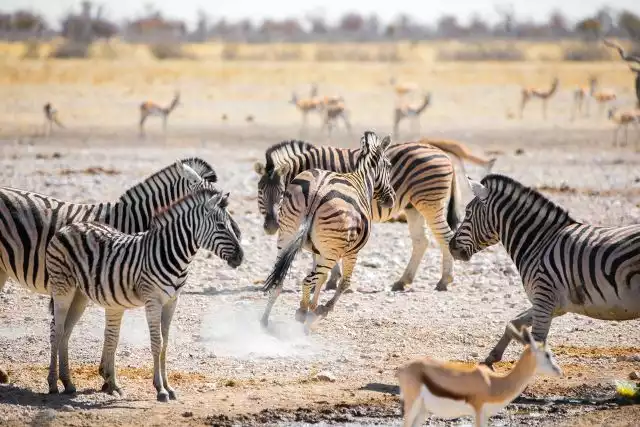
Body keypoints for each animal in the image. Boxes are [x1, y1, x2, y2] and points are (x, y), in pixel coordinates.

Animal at [46, 187, 244, 402]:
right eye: (221, 226)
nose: (241, 257)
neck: (172, 254)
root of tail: (68, 227)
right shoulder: (153, 301)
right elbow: (157, 342)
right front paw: (160, 389)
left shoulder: (172, 301)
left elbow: (165, 343)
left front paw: (169, 387)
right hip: (63, 289)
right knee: (57, 331)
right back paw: (53, 384)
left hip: (79, 295)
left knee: (66, 332)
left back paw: (68, 383)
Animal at [252, 140, 458, 294]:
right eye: (260, 191)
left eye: (281, 192)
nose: (271, 227)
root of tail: (444, 154)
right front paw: (330, 279)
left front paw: (329, 279)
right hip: (413, 207)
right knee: (421, 241)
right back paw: (403, 281)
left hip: (430, 202)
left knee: (445, 237)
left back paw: (444, 280)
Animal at [260, 132, 396, 330]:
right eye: (389, 165)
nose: (391, 199)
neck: (362, 180)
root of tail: (317, 191)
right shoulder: (352, 252)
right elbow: (344, 282)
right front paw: (323, 308)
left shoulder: (318, 251)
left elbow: (323, 279)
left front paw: (313, 305)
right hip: (332, 250)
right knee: (307, 280)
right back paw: (302, 313)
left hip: (287, 237)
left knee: (280, 279)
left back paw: (264, 321)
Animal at [398, 326, 564, 426]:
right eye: (548, 354)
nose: (559, 371)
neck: (493, 383)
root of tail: (403, 368)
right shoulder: (478, 413)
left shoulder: (485, 415)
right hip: (412, 406)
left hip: (423, 411)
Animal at [448, 174, 640, 368]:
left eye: (468, 213)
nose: (451, 247)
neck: (539, 242)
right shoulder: (552, 304)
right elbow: (513, 323)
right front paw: (492, 357)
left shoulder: (544, 297)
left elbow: (536, 342)